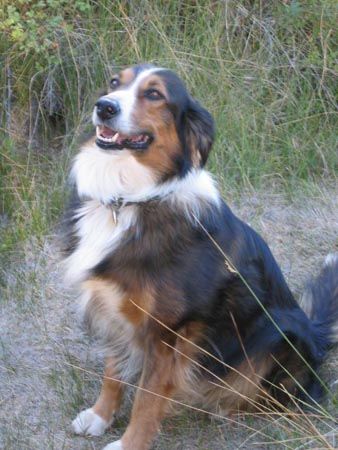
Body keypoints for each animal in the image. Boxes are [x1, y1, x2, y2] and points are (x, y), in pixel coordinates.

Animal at [62, 64, 338, 450]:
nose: (104, 107)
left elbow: (147, 399)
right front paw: (101, 416)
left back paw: (226, 404)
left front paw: (130, 443)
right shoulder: (114, 308)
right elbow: (113, 372)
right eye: (115, 83)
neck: (134, 198)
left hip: (282, 335)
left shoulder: (168, 332)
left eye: (154, 94)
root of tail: (315, 333)